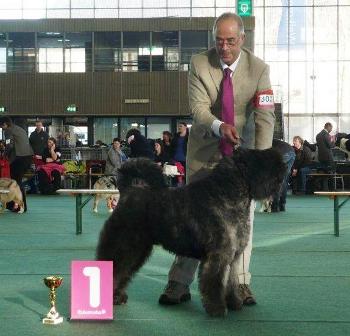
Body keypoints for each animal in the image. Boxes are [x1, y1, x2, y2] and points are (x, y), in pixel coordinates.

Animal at [95, 149, 284, 318]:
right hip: (123, 245)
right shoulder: (218, 256)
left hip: (137, 250)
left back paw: (117, 296)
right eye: (259, 158)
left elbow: (231, 282)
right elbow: (215, 283)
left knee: (124, 271)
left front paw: (234, 303)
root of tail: (128, 192)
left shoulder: (234, 257)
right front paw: (217, 309)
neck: (228, 195)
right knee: (115, 267)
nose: (282, 165)